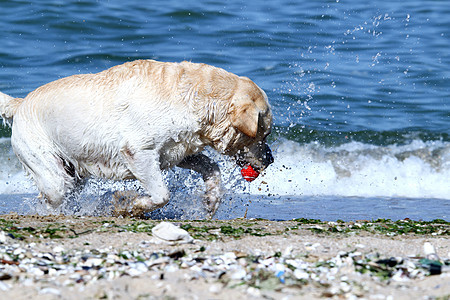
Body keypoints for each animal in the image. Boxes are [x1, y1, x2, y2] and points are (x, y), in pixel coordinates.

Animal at [1, 59, 272, 217]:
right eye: (264, 133)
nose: (270, 159)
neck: (196, 97)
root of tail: (21, 103)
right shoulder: (138, 152)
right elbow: (162, 194)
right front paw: (131, 205)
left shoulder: (175, 151)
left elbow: (211, 166)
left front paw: (211, 199)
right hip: (47, 167)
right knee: (53, 195)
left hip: (72, 172)